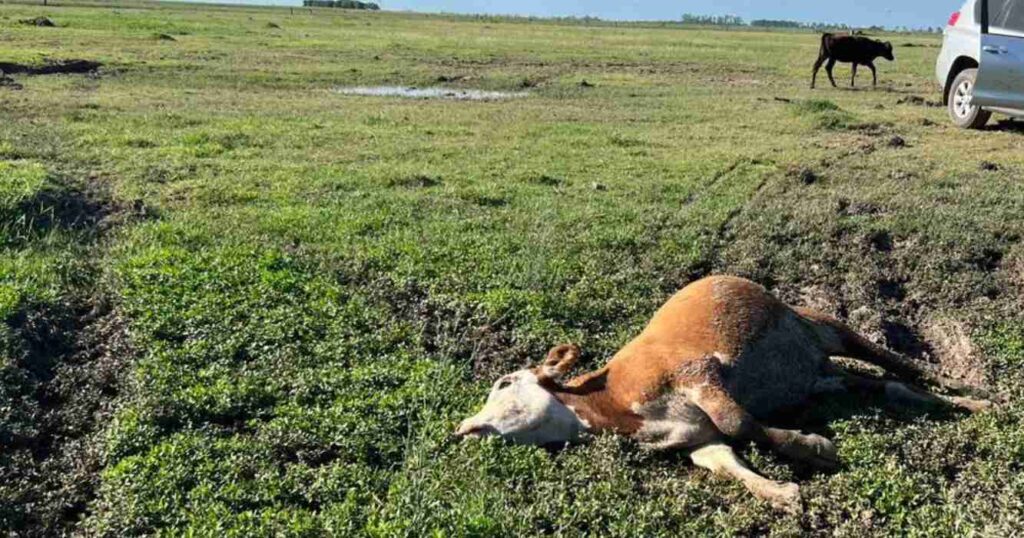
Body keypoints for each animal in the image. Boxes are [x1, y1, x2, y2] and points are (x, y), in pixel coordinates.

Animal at [456, 276, 991, 512]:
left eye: (504, 383)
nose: (463, 428)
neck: (613, 401)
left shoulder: (698, 373)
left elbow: (741, 423)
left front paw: (814, 447)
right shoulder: (695, 436)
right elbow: (723, 458)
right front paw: (779, 491)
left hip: (819, 324)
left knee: (893, 360)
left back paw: (969, 388)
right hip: (821, 374)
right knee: (885, 384)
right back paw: (959, 404)